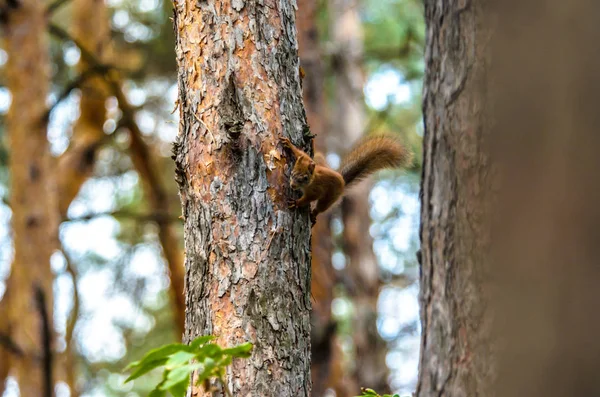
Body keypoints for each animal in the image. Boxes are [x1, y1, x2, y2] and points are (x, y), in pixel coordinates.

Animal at [280, 134, 412, 224]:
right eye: (292, 174)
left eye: (305, 178)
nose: (292, 186)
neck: (313, 178)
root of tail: (343, 182)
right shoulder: (307, 161)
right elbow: (302, 154)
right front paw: (289, 145)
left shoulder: (315, 190)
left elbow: (309, 198)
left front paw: (297, 203)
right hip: (320, 160)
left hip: (331, 196)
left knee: (322, 206)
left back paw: (314, 214)